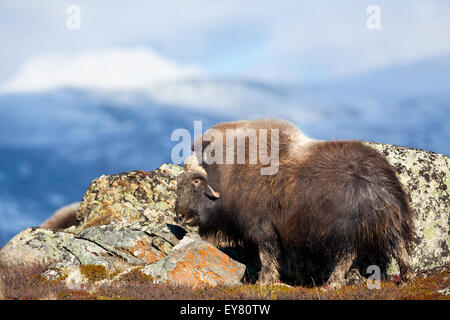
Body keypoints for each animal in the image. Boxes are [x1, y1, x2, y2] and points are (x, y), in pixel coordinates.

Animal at [174, 119, 414, 288]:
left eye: (195, 182)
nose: (180, 216)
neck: (228, 172)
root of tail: (375, 179)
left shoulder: (262, 227)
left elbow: (267, 255)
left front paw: (263, 281)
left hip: (344, 232)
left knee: (346, 257)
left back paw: (330, 285)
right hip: (389, 223)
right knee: (399, 248)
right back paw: (406, 279)